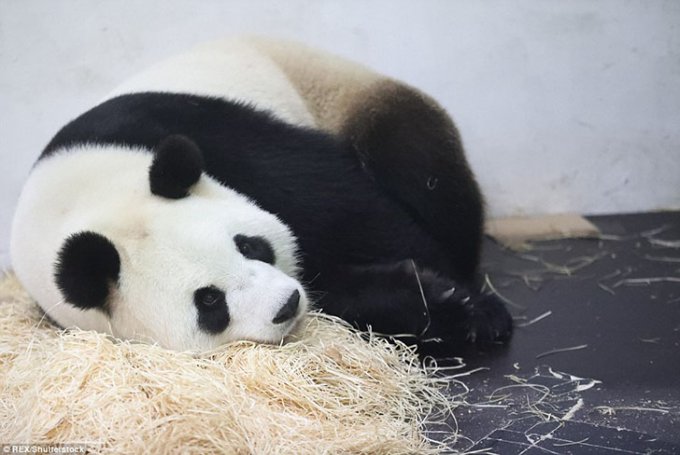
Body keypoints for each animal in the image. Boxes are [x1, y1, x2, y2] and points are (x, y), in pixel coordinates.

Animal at [10, 37, 510, 356]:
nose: (286, 303)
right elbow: (334, 286)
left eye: (249, 245)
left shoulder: (194, 132)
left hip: (344, 93)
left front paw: (465, 303)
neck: (82, 195)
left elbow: (340, 206)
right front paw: (440, 302)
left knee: (421, 165)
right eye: (209, 303)